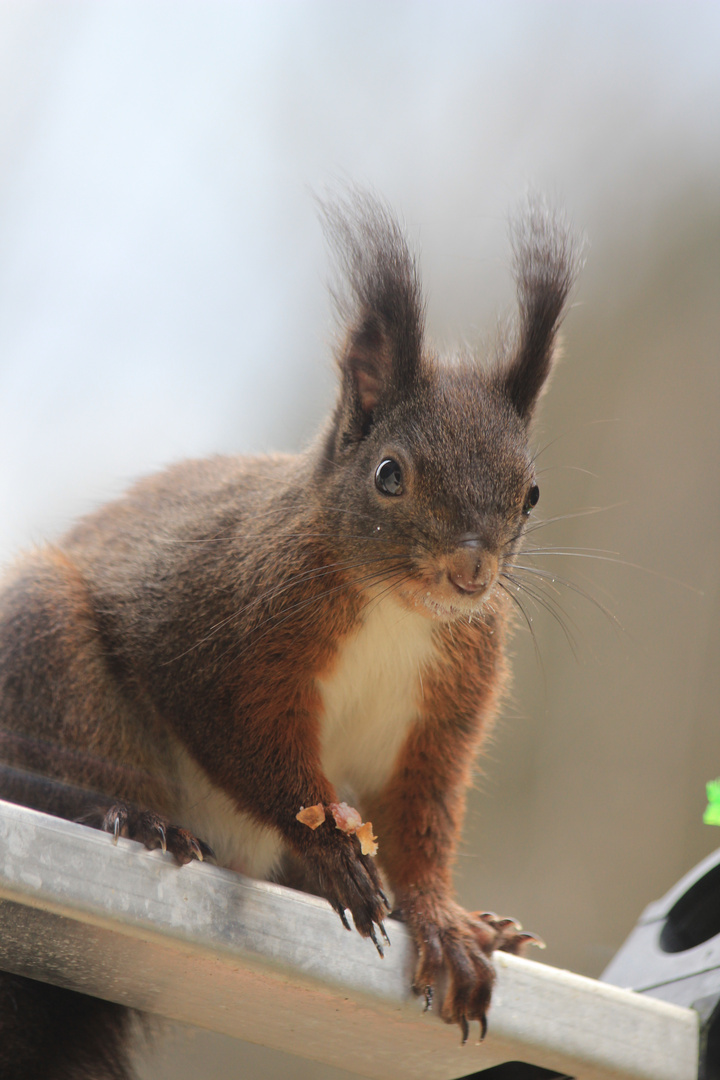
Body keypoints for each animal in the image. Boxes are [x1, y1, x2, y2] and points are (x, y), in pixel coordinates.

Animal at [0, 190, 578, 1075]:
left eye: (532, 493)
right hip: (44, 644)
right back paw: (136, 819)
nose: (470, 571)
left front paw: (440, 919)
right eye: (389, 474)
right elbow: (242, 741)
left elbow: (422, 813)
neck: (398, 610)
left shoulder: (446, 706)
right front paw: (332, 849)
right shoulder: (215, 625)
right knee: (70, 770)